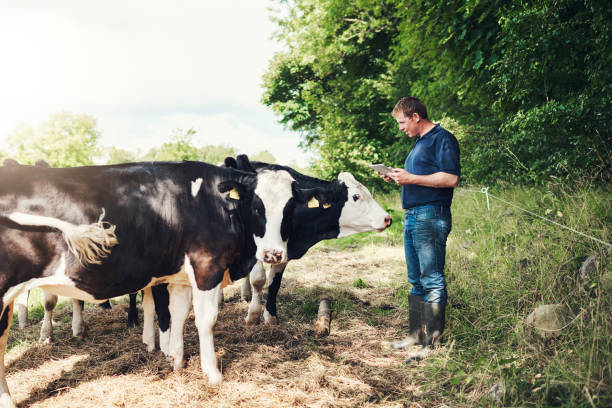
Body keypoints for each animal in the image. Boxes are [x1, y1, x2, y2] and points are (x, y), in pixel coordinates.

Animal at [0, 158, 314, 406]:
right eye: (257, 205)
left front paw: (176, 360)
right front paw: (212, 374)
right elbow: (206, 320)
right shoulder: (207, 267)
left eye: (290, 207)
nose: (273, 253)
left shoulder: (182, 276)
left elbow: (178, 314)